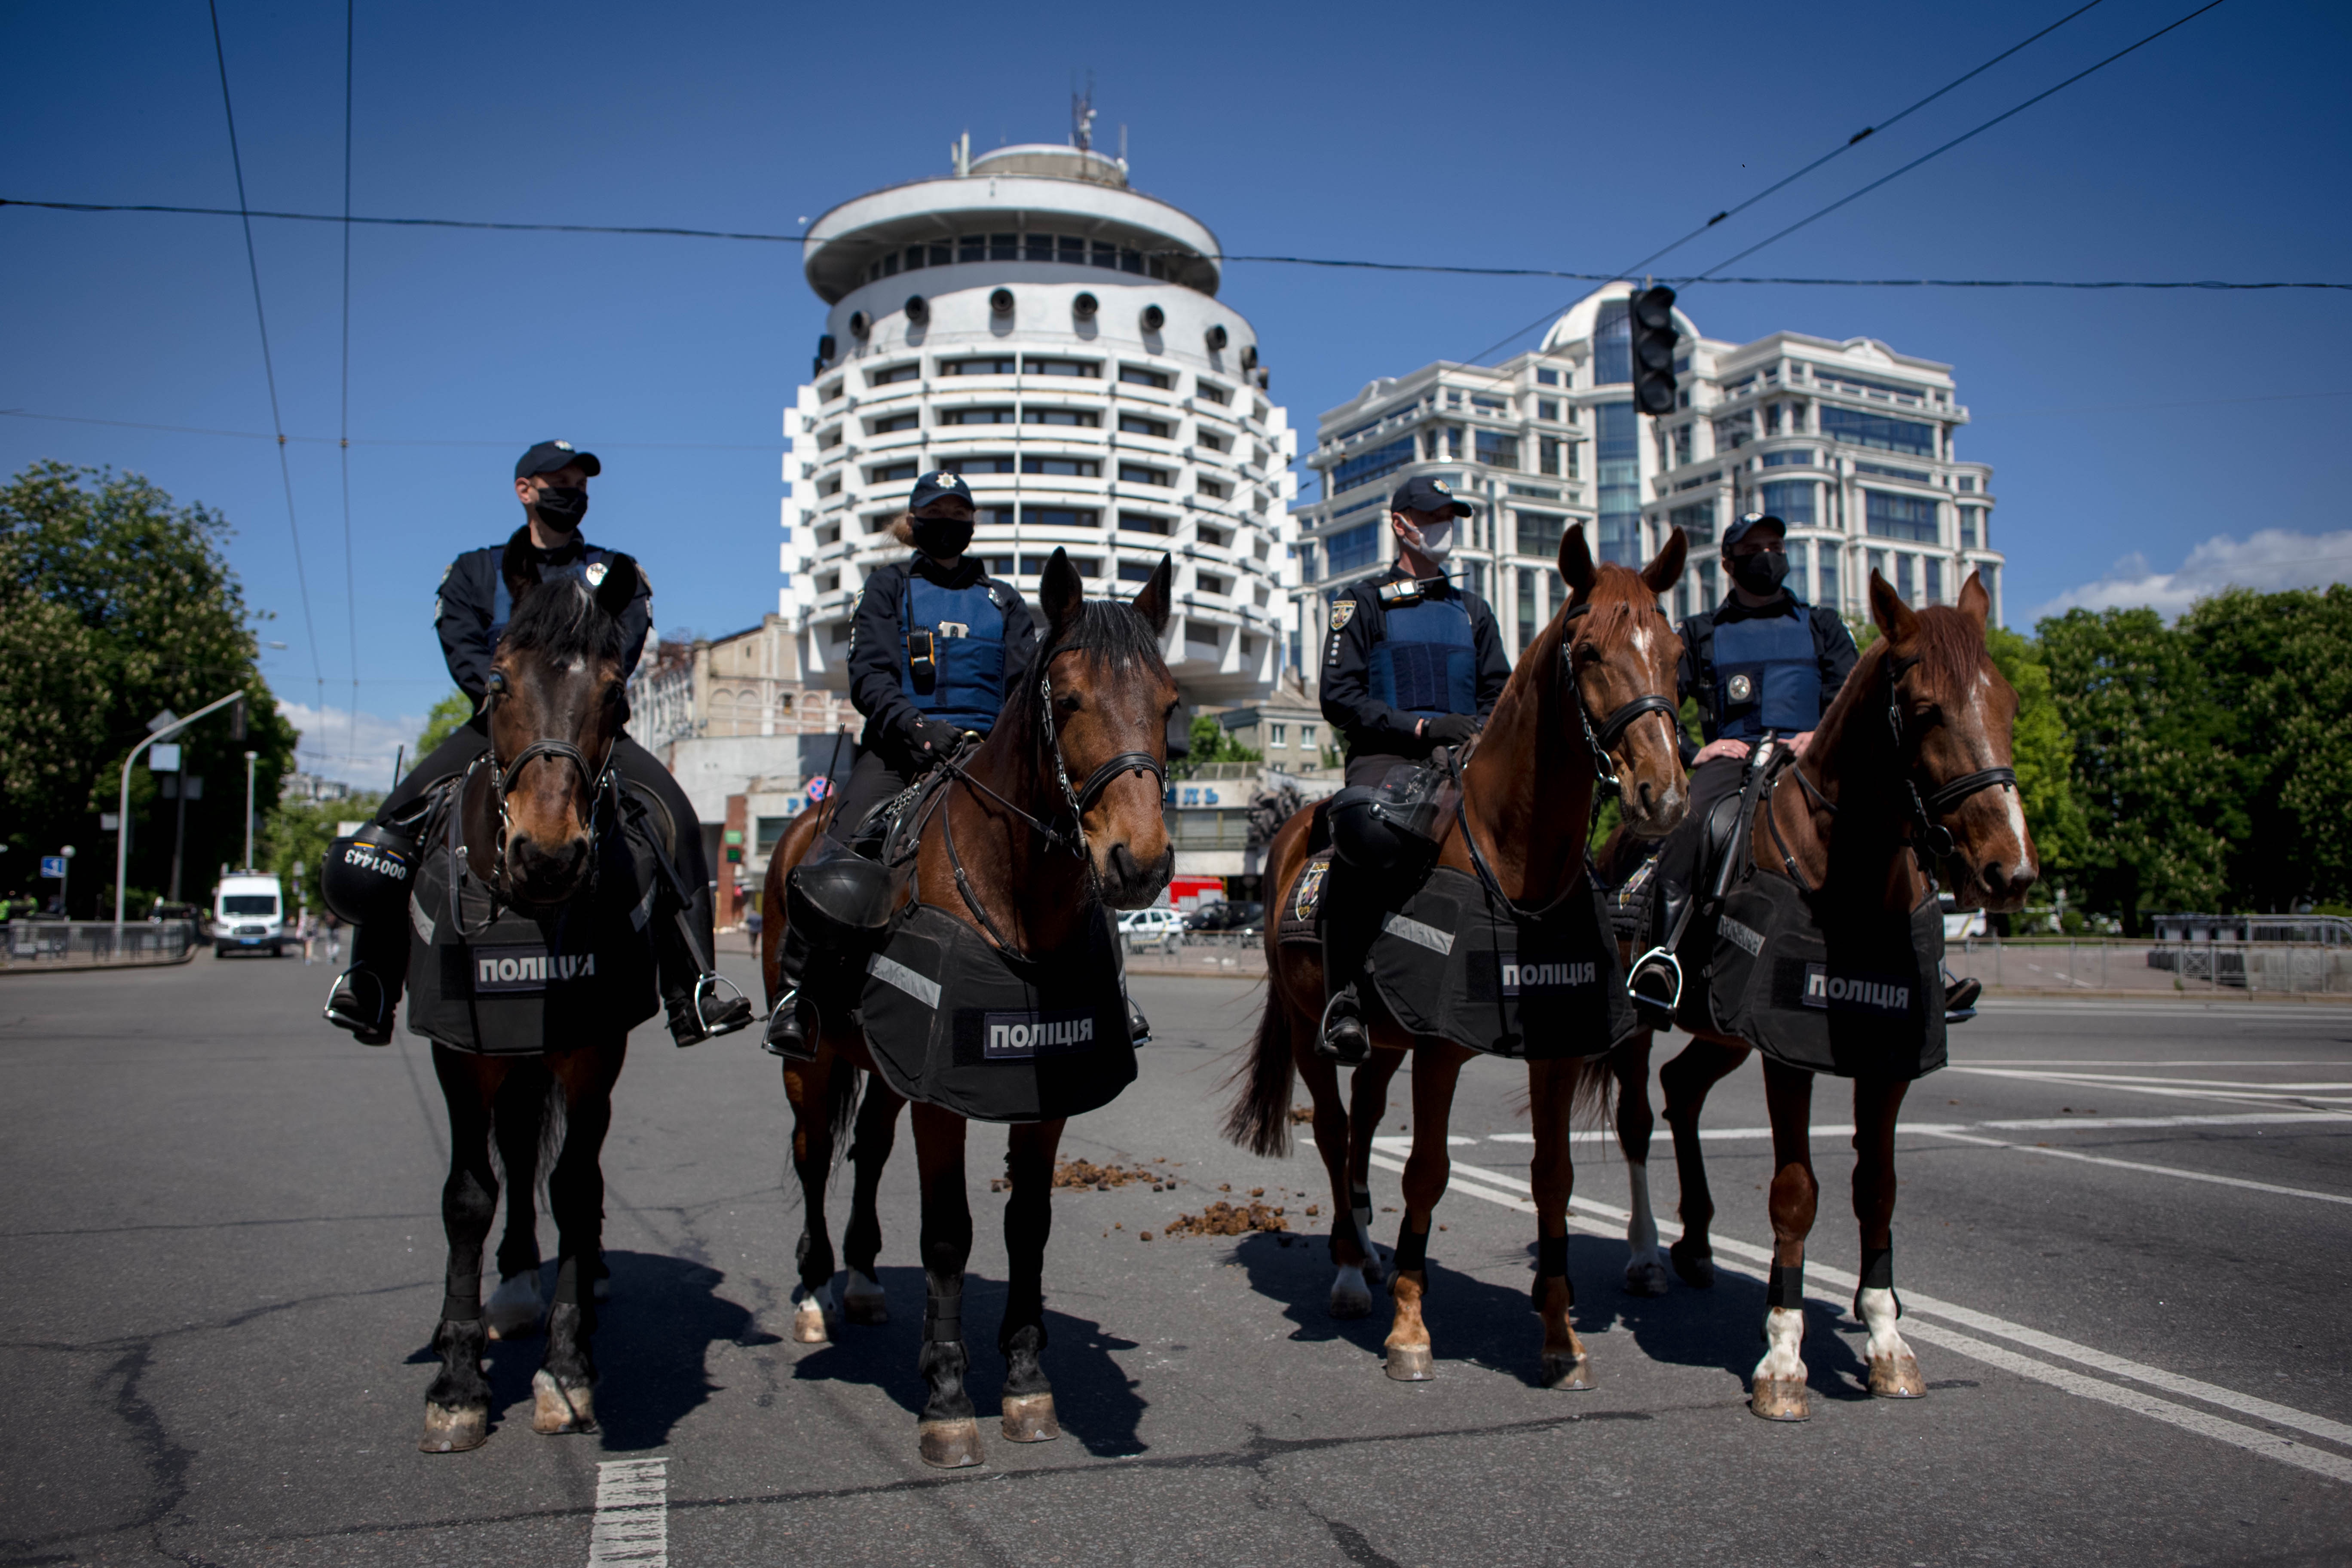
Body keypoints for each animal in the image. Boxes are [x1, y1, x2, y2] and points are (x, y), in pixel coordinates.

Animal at [414, 545, 663, 1457]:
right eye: (496, 682)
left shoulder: (596, 1050)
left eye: (618, 696)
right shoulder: (458, 1051)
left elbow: (576, 1186)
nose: (549, 855)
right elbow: (468, 1194)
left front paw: (568, 1367)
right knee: (514, 1153)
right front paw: (457, 1383)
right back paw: (515, 1282)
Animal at [766, 552, 1185, 1476]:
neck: (1015, 899)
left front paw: (1026, 1381)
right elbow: (949, 1236)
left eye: (1171, 702)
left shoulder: (1038, 1098)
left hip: (884, 1066)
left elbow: (1026, 1225)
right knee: (813, 1158)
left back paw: (860, 1279)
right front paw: (950, 1399)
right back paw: (812, 1292)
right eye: (1067, 697)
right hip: (812, 1063)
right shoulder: (943, 1100)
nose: (1138, 864)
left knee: (868, 1151)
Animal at [1232, 527, 1693, 1382]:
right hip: (1315, 1029)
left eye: (1676, 651)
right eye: (1587, 652)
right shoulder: (1441, 1049)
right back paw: (1351, 1272)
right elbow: (1427, 1171)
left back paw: (1368, 1247)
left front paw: (1560, 1335)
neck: (1515, 865)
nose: (1663, 795)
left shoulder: (1553, 1049)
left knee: (1365, 1122)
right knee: (1335, 1132)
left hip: (1384, 1044)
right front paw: (1411, 1330)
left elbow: (1553, 1178)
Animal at [1599, 567, 2041, 1420]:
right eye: (1925, 709)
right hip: (1641, 1021)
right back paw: (1646, 1255)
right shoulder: (1787, 1055)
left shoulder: (1885, 1063)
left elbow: (1878, 1188)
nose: (2010, 870)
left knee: (1683, 1089)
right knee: (1639, 1118)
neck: (1851, 886)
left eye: (2006, 701)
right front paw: (1782, 1355)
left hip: (1722, 1032)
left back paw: (1697, 1241)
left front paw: (1887, 1338)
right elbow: (1795, 1193)